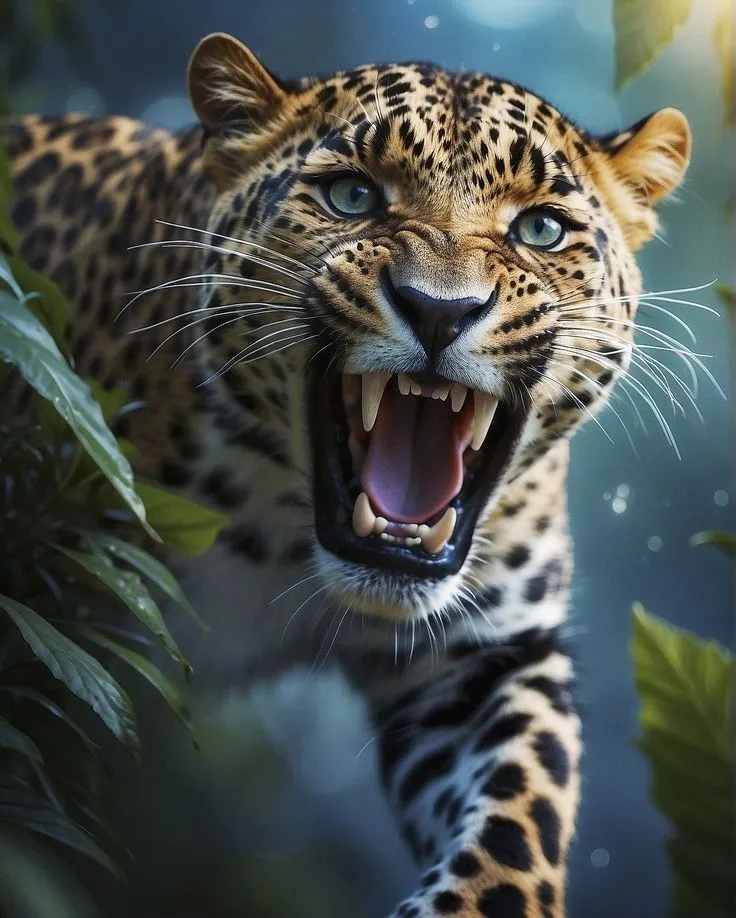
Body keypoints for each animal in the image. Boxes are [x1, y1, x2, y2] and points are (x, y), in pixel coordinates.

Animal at [5, 32, 691, 917]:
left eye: (540, 228)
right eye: (352, 195)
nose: (440, 310)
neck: (277, 534)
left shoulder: (486, 659)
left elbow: (519, 813)